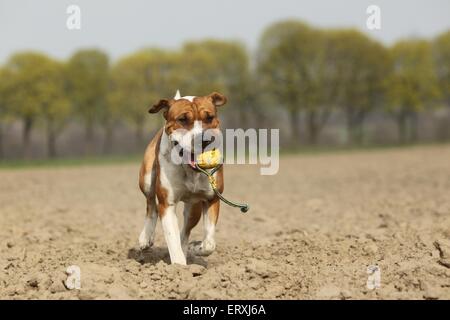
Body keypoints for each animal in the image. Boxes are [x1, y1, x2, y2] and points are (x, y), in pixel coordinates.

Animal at [137, 89, 227, 264]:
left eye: (209, 117)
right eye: (183, 120)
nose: (203, 139)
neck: (190, 171)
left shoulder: (212, 198)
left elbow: (209, 243)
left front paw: (197, 248)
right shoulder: (167, 204)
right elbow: (172, 238)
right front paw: (179, 267)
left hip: (194, 207)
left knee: (185, 231)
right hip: (146, 180)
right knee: (151, 205)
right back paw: (145, 238)